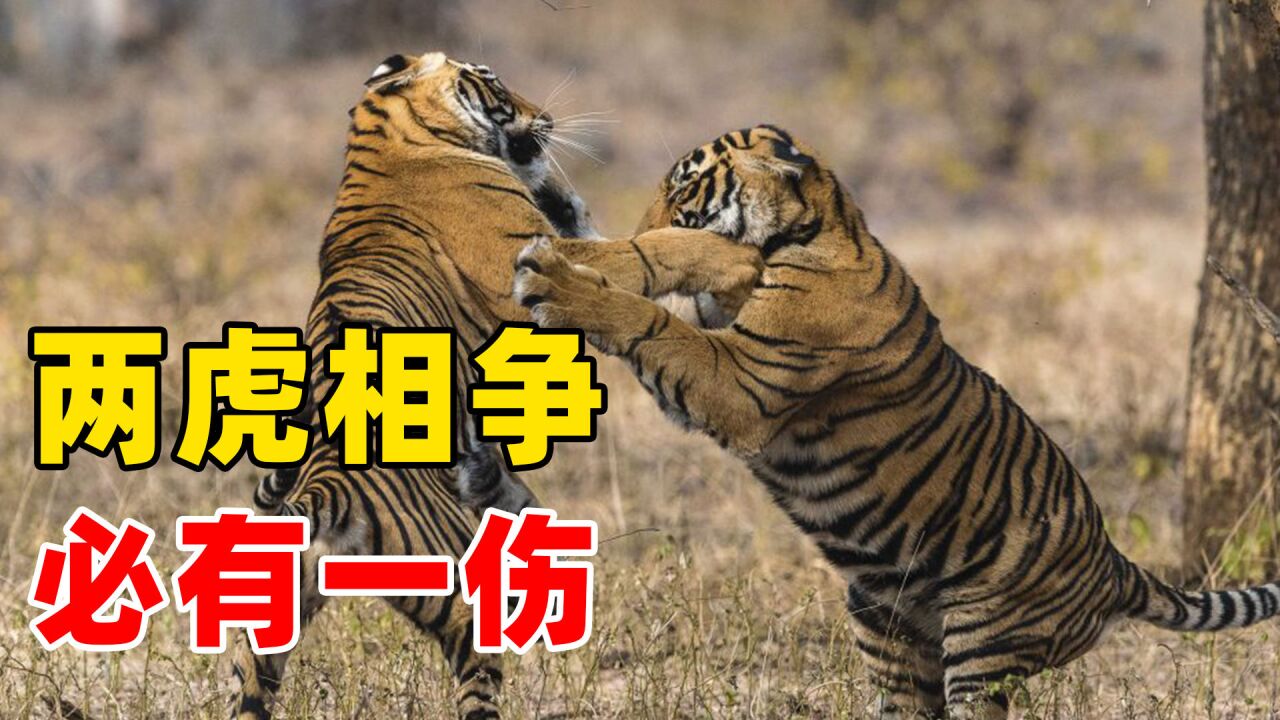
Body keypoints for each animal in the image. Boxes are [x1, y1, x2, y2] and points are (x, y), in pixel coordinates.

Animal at [232, 53, 761, 720]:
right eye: (494, 80)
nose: (547, 117)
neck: (383, 138)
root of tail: (324, 499)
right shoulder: (539, 259)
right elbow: (648, 250)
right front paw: (736, 260)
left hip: (261, 632)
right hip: (454, 590)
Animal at [512, 124, 1280, 719]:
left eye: (685, 190)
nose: (637, 220)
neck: (815, 228)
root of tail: (1117, 566)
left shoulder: (739, 381)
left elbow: (654, 321)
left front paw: (559, 279)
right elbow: (689, 263)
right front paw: (587, 252)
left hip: (983, 645)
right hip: (886, 627)